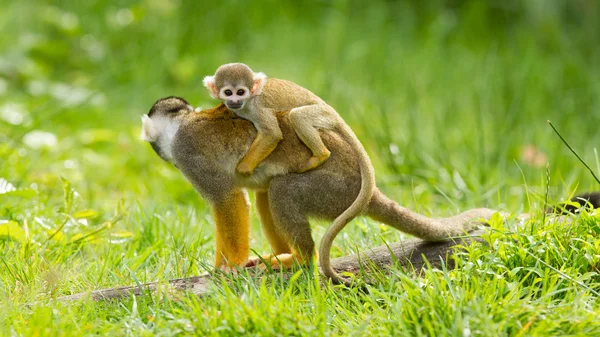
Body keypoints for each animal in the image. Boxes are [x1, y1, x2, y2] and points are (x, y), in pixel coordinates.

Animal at [142, 96, 502, 284]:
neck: (178, 129)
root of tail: (368, 190)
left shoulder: (189, 154)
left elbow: (228, 200)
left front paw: (224, 267)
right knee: (267, 191)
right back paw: (285, 255)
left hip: (333, 188)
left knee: (282, 190)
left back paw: (301, 259)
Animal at [202, 61, 340, 175]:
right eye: (228, 93)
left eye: (240, 92)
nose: (234, 101)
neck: (248, 102)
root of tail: (332, 111)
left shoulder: (257, 108)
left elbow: (272, 134)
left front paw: (244, 167)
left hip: (325, 114)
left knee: (297, 116)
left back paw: (321, 155)